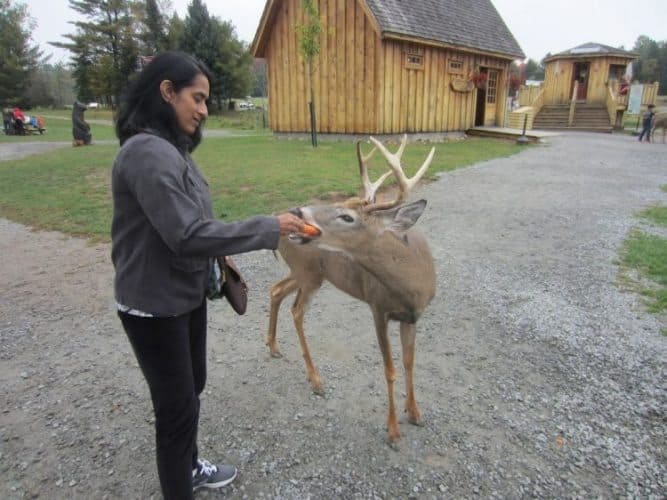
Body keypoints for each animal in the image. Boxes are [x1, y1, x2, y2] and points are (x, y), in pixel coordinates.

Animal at [266, 135, 438, 444]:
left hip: (306, 273)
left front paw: (415, 413)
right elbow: (390, 369)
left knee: (276, 291)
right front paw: (393, 430)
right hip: (308, 274)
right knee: (296, 311)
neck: (410, 285)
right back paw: (316, 379)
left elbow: (409, 362)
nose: (297, 212)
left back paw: (274, 347)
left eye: (347, 216)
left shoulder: (413, 317)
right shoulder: (377, 307)